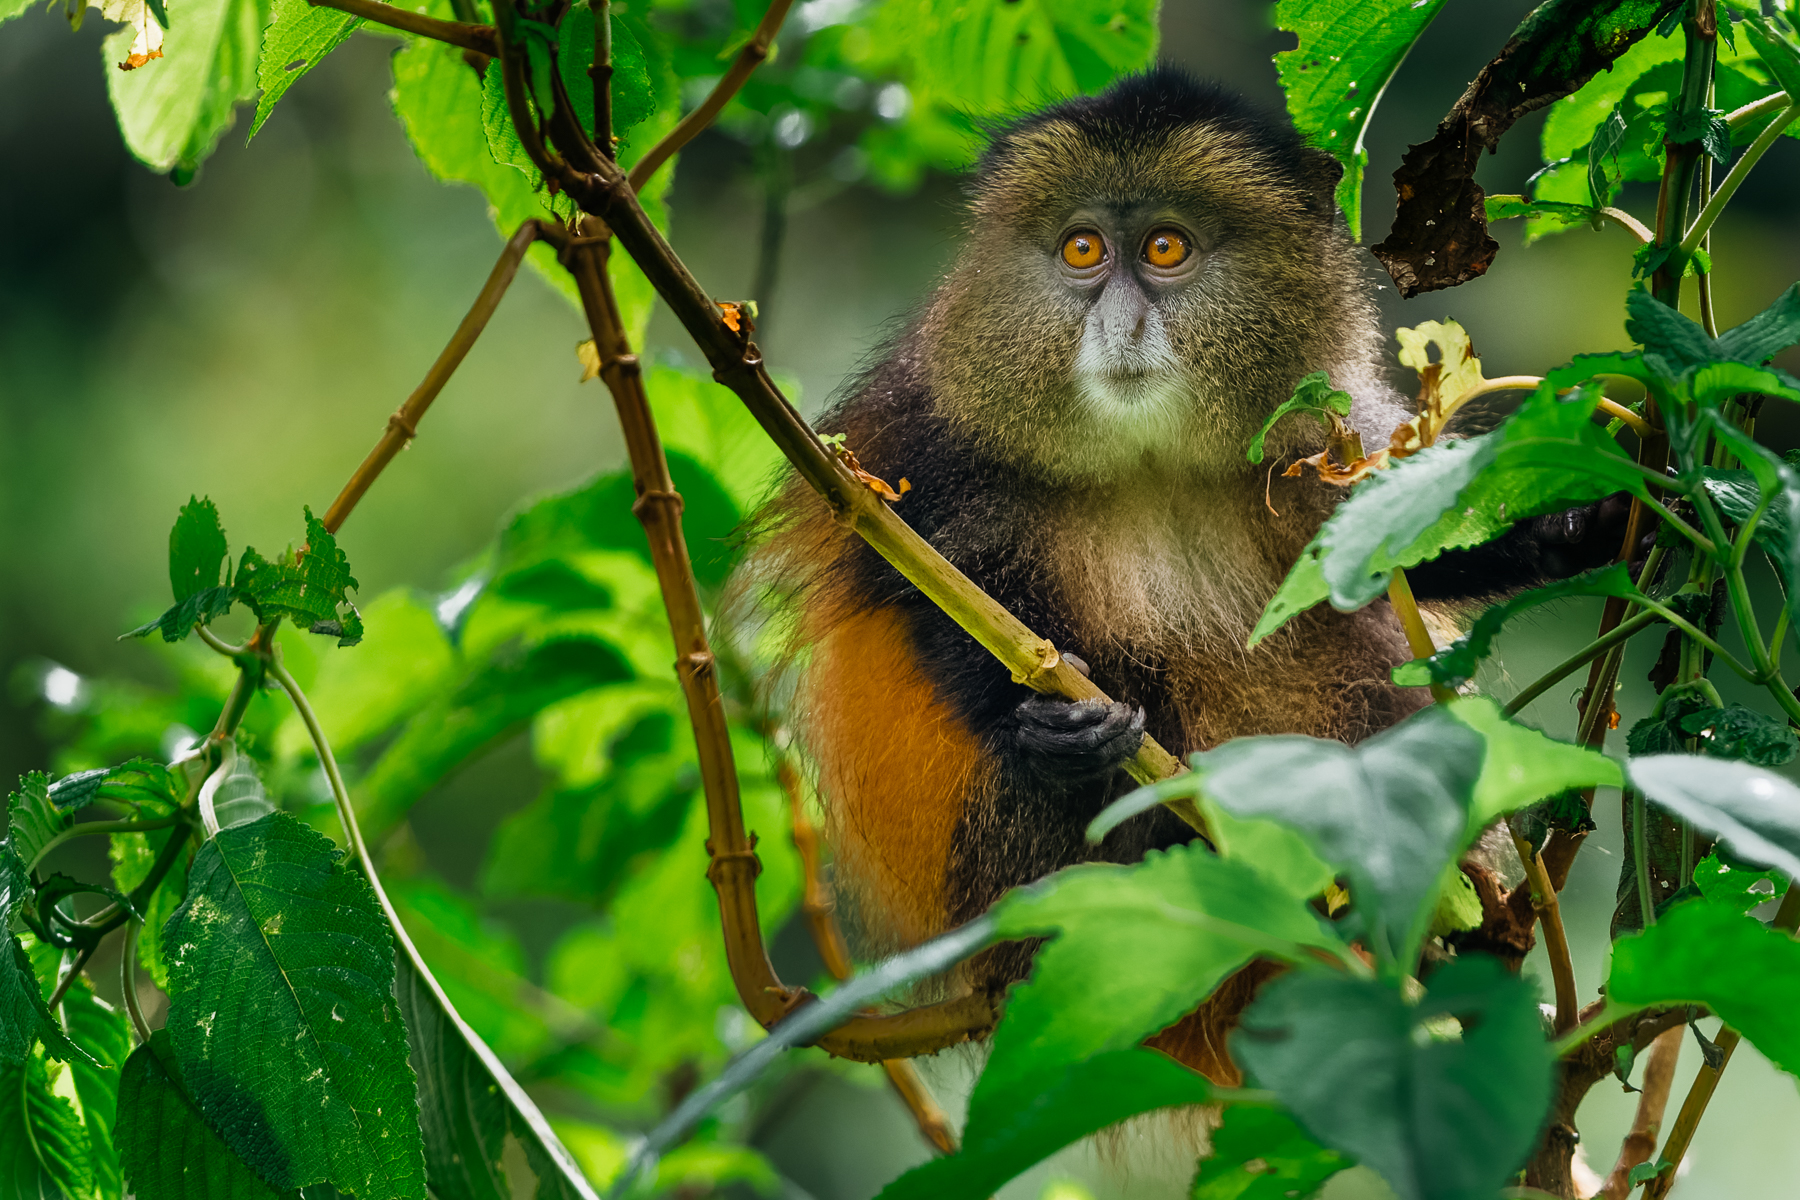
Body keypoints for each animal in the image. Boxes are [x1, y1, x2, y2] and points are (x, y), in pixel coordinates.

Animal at [743, 67, 1624, 1084]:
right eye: (1083, 249)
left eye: (1166, 248)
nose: (1120, 322)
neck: (1149, 460)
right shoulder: (930, 448)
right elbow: (926, 596)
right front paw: (1055, 735)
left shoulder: (1324, 431)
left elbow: (1388, 553)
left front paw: (1582, 527)